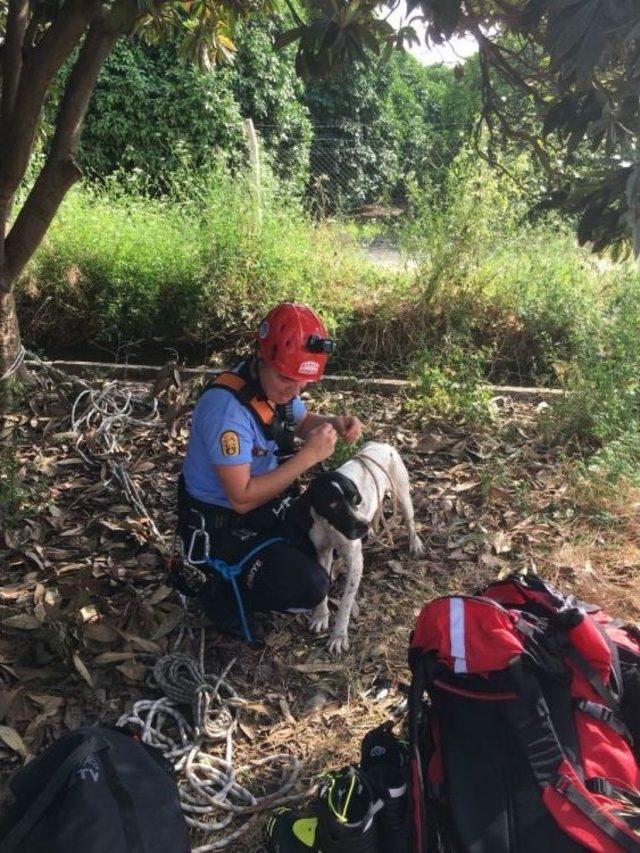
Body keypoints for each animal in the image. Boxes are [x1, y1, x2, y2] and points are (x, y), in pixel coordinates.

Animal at [290, 440, 424, 652]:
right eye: (333, 504)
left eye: (355, 499)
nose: (363, 526)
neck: (330, 525)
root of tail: (382, 444)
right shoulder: (323, 552)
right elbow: (323, 587)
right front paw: (321, 615)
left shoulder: (355, 562)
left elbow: (345, 603)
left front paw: (338, 635)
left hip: (402, 494)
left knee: (409, 520)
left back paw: (414, 543)